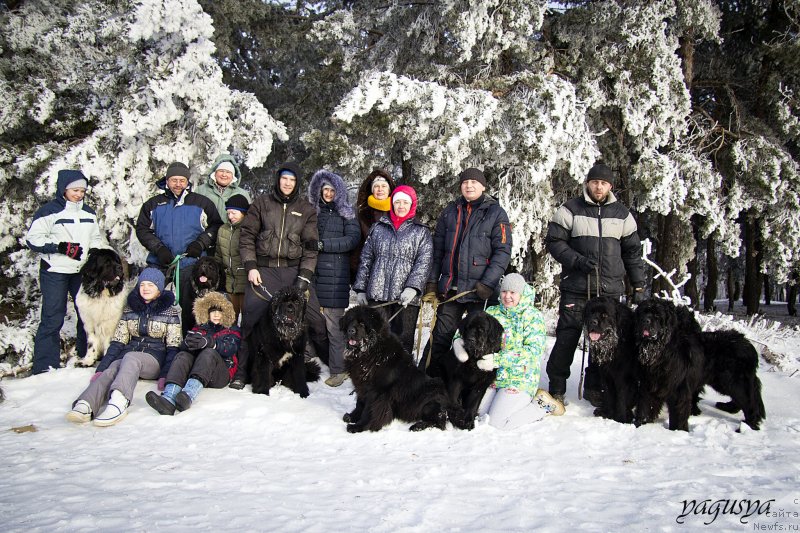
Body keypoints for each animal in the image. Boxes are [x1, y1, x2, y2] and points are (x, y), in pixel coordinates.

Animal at [634, 298, 705, 431]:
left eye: (657, 315)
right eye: (643, 313)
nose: (645, 320)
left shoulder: (679, 389)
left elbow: (679, 413)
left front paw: (679, 431)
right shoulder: (648, 384)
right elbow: (645, 406)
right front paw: (641, 424)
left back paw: (695, 410)